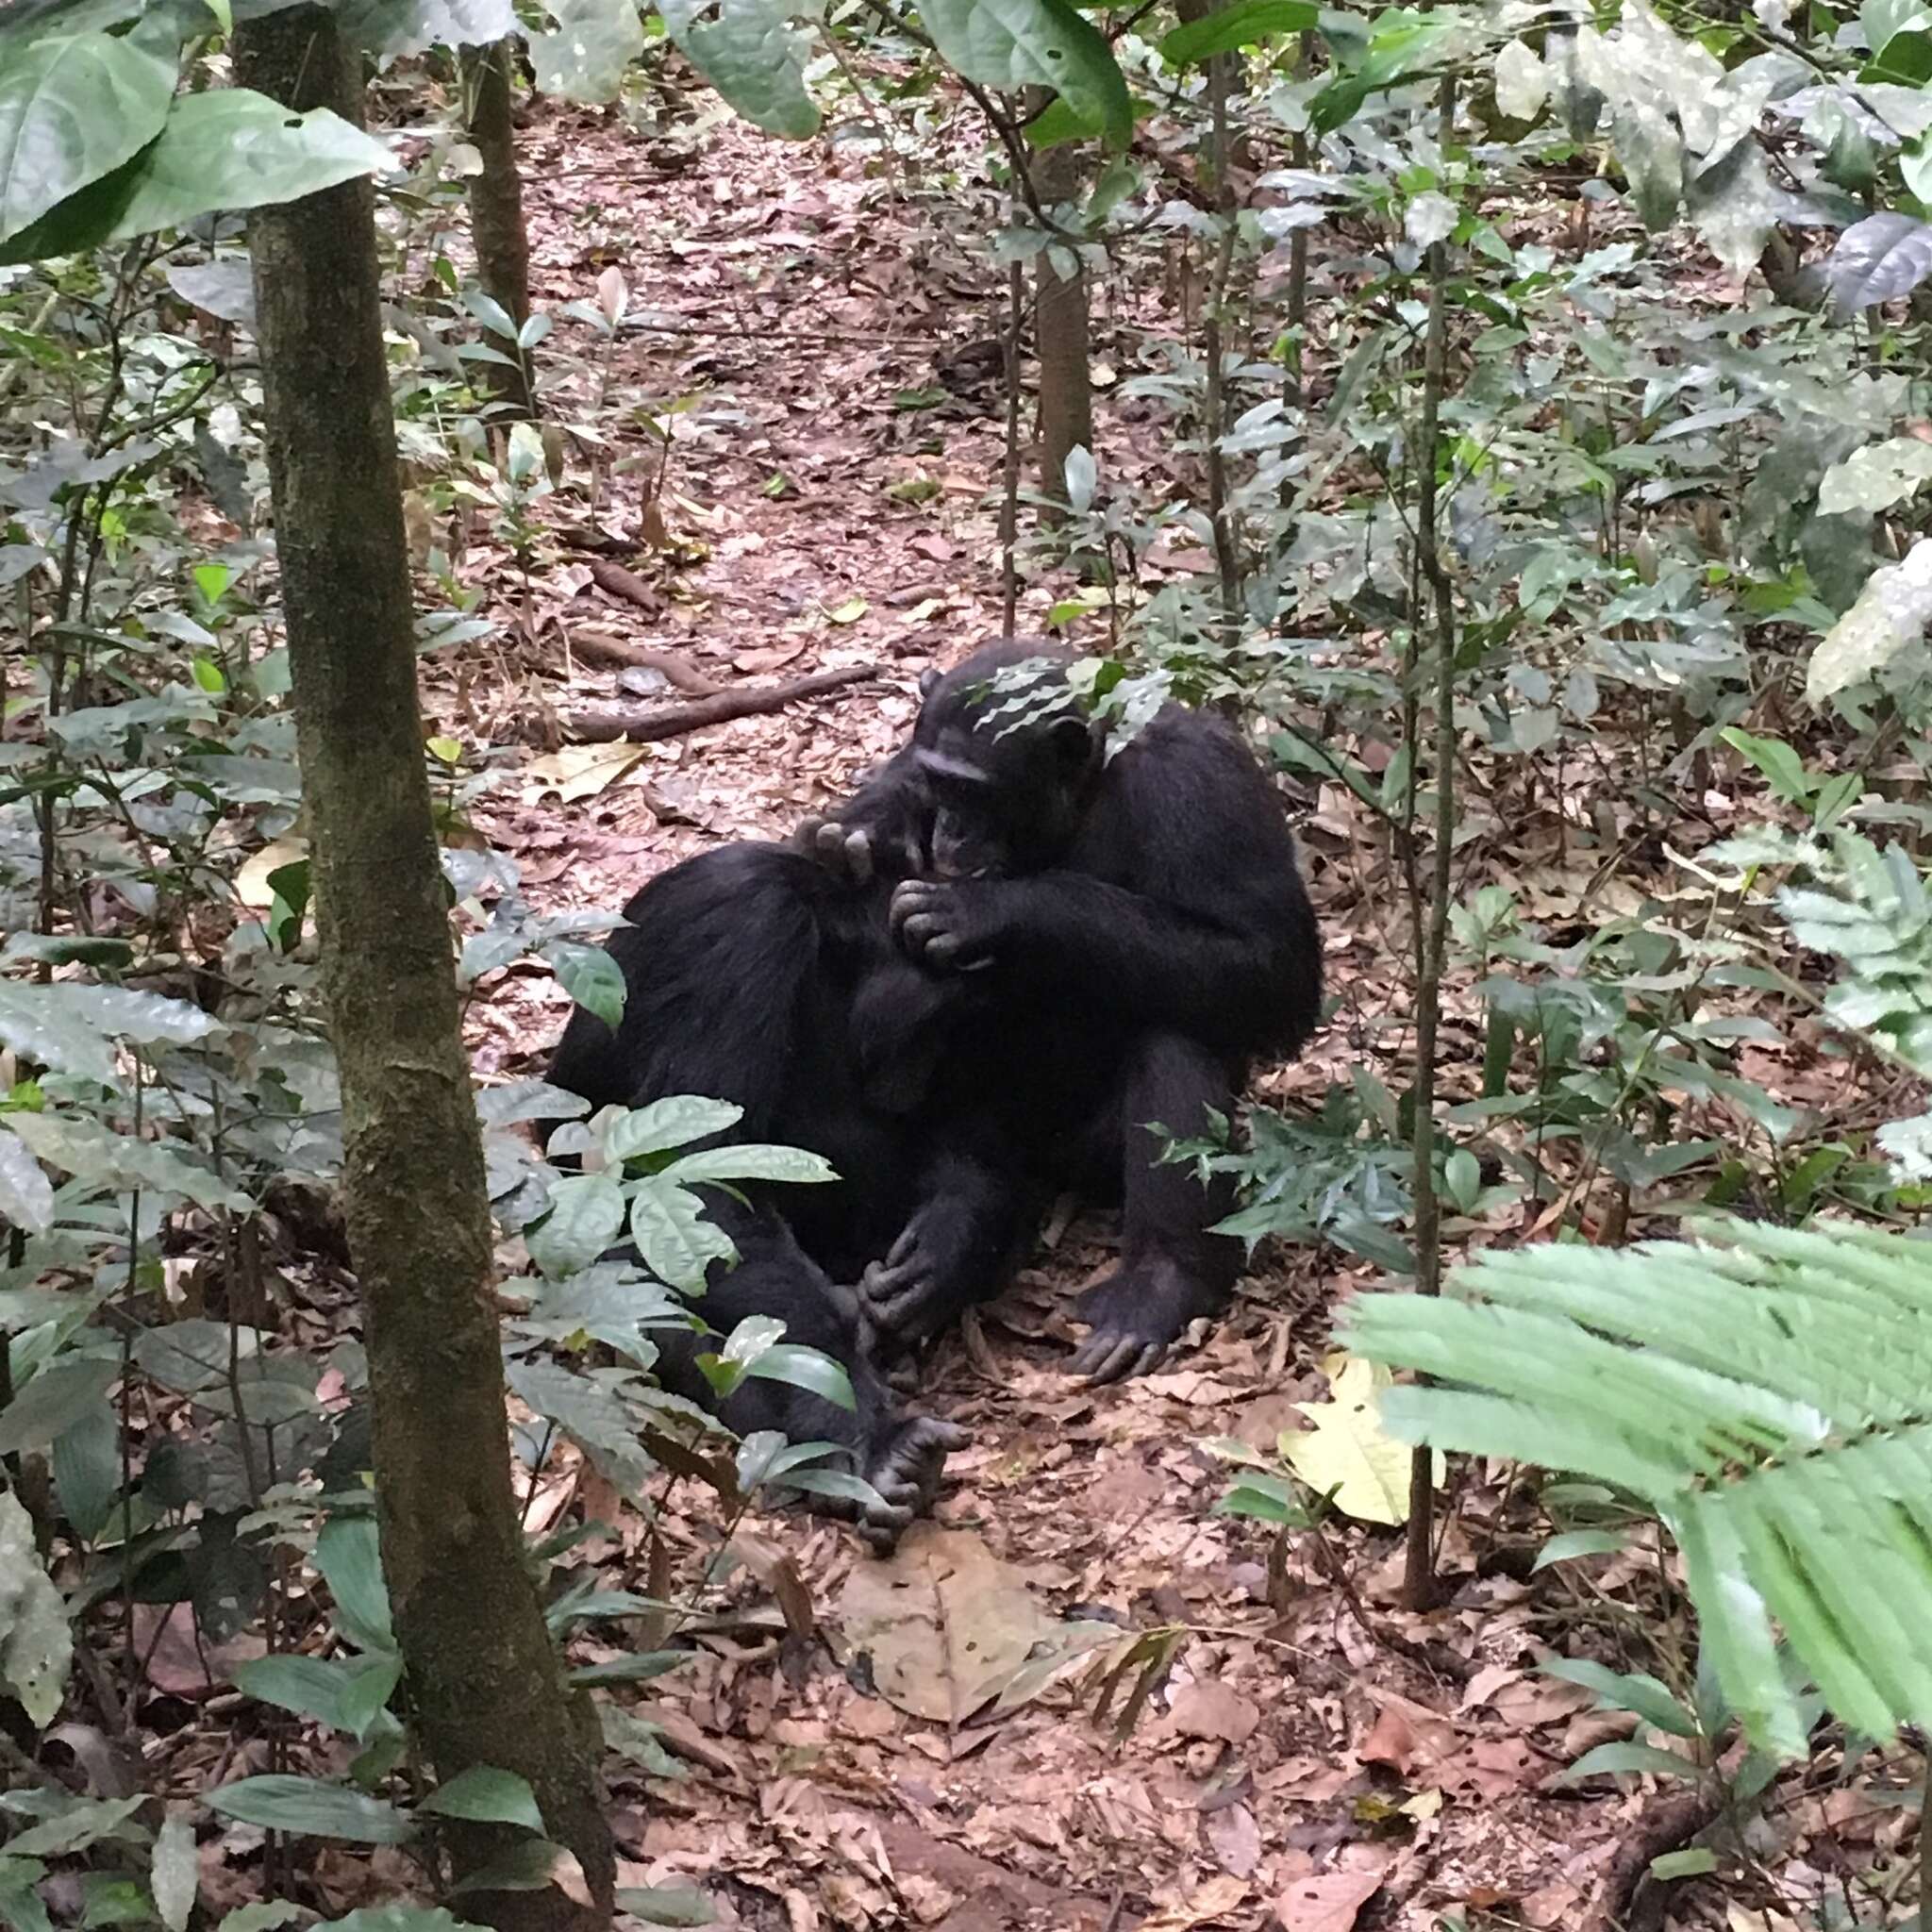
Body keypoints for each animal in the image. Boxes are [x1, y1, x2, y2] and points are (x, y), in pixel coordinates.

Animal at [544, 846, 966, 1553]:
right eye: (930, 1027)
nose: (925, 1072)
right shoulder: (742, 935)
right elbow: (696, 1180)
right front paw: (871, 1435)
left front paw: (943, 1257)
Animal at [791, 641, 1321, 1383]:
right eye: (941, 786)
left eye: (975, 792)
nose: (951, 830)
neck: (1091, 788)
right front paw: (857, 832)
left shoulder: (1204, 782)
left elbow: (1269, 960)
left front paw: (990, 913)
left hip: (1087, 1154)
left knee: (1177, 1035)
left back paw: (1158, 1285)